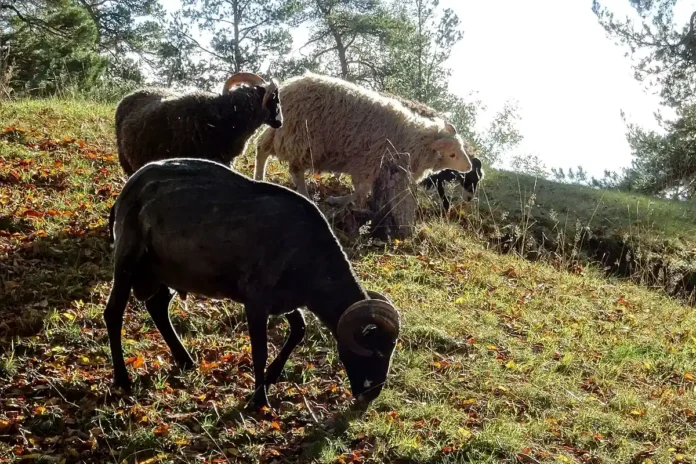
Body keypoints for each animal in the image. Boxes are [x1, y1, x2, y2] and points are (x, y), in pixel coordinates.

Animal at [107, 158, 402, 408]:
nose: (372, 394)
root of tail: (130, 185)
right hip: (128, 260)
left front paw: (271, 378)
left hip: (164, 271)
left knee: (157, 307)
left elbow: (299, 330)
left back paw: (185, 360)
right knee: (113, 313)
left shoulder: (285, 301)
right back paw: (123, 379)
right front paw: (259, 399)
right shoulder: (256, 302)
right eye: (377, 351)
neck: (312, 257)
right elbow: (260, 350)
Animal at [253, 73, 470, 207]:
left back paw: (258, 178)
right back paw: (305, 195)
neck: (412, 137)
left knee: (261, 148)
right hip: (302, 138)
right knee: (295, 170)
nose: (468, 168)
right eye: (452, 154)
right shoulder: (367, 163)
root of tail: (288, 86)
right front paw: (339, 201)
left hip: (283, 132)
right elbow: (361, 190)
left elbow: (362, 191)